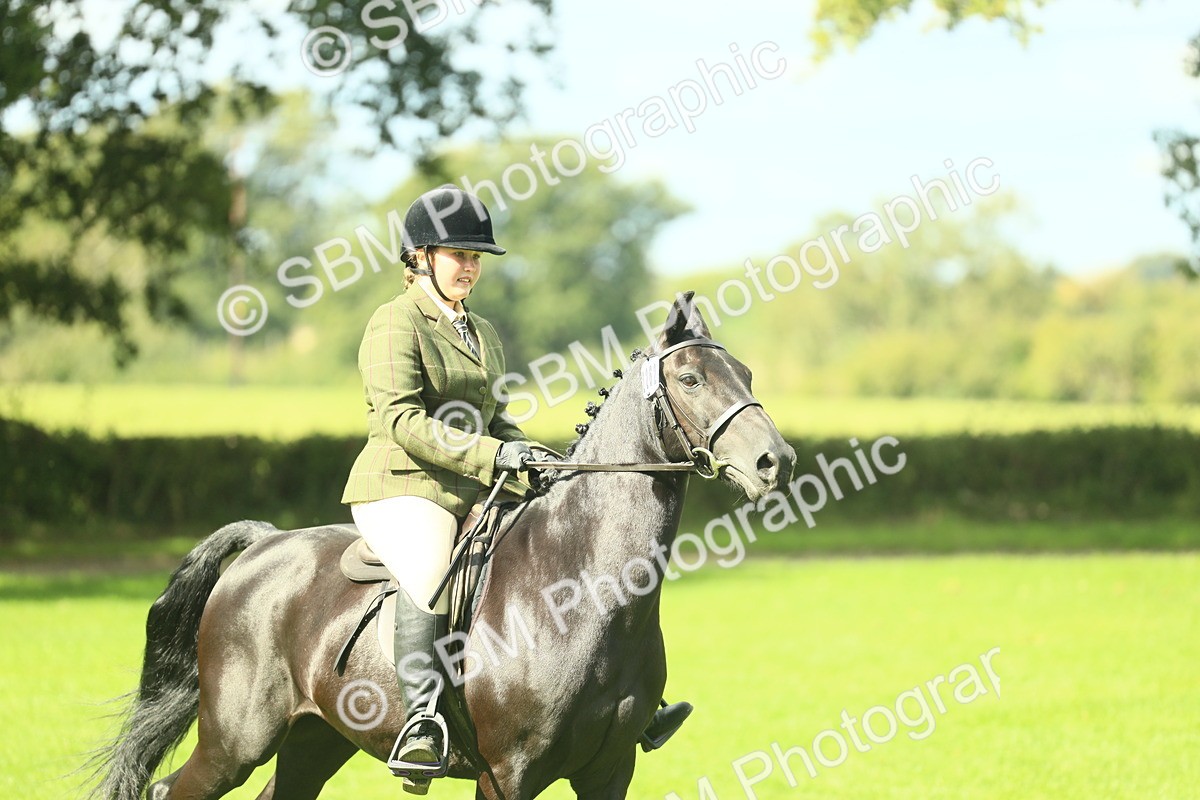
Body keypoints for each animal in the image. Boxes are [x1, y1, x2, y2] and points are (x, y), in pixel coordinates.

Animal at [85, 292, 796, 800]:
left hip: (318, 735)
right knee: (172, 789)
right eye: (692, 379)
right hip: (235, 740)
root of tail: (265, 546)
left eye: (746, 372)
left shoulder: (609, 770)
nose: (776, 462)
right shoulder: (507, 774)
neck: (586, 593)